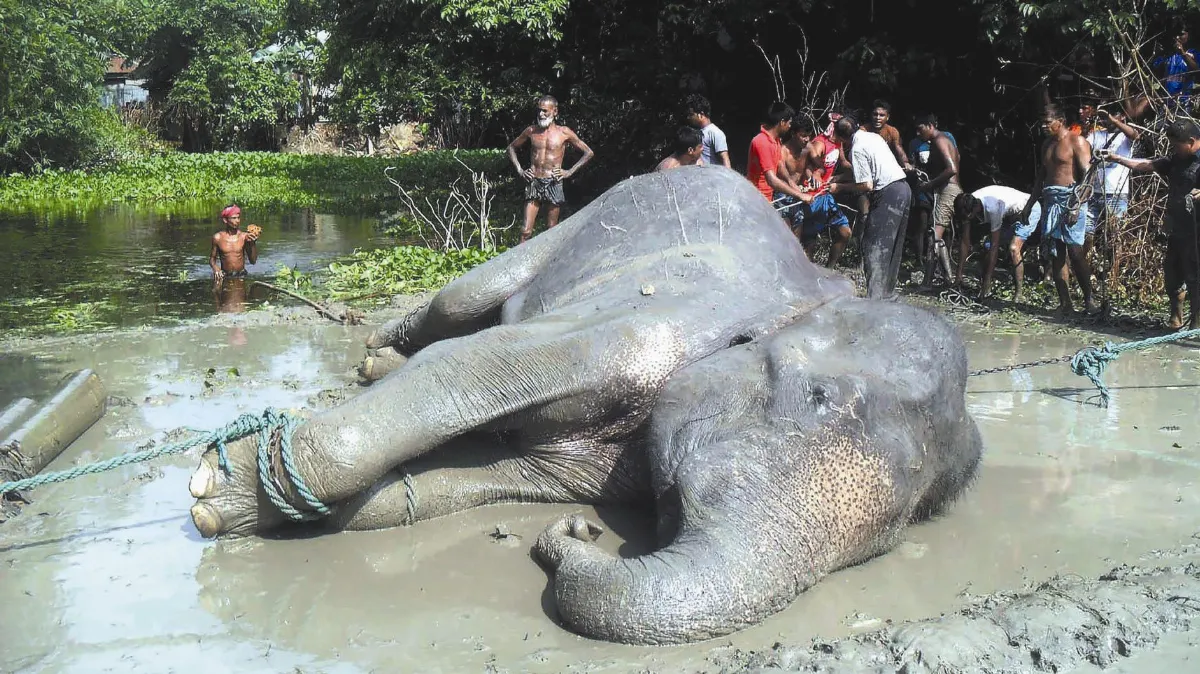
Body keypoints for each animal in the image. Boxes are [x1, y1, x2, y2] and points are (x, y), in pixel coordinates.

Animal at [187, 165, 983, 646]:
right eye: (817, 399)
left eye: (903, 524)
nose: (578, 533)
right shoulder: (638, 332)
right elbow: (475, 364)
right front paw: (210, 490)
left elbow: (472, 475)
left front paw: (251, 505)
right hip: (577, 219)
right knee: (459, 303)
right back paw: (374, 355)